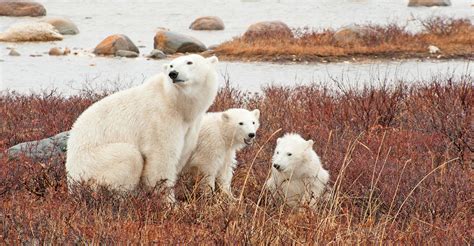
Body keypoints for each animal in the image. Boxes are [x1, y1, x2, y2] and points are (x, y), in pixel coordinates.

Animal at [65, 53, 219, 202]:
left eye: (189, 62)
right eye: (171, 65)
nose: (173, 74)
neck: (177, 104)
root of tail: (71, 181)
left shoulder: (190, 126)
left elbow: (182, 152)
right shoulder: (160, 119)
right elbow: (161, 158)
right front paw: (169, 202)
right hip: (93, 162)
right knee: (129, 156)